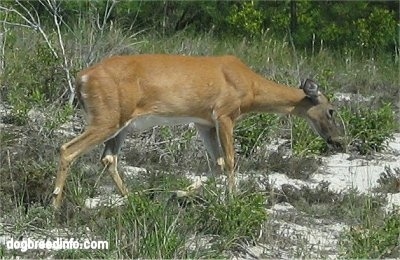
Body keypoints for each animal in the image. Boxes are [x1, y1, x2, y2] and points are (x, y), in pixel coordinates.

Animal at [51, 53, 342, 208]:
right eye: (331, 110)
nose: (338, 141)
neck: (250, 86)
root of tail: (81, 78)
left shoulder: (203, 122)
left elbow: (217, 162)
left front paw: (181, 192)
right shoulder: (224, 114)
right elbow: (231, 161)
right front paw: (233, 201)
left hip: (120, 122)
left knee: (108, 157)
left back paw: (133, 199)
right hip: (107, 117)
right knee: (68, 149)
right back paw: (54, 204)